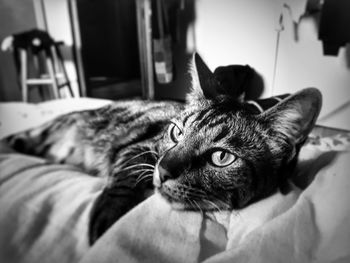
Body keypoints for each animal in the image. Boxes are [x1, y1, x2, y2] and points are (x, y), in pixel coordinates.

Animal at [4, 53, 322, 245]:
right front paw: (107, 217)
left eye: (221, 157)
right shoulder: (141, 147)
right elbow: (128, 174)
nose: (163, 170)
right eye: (176, 133)